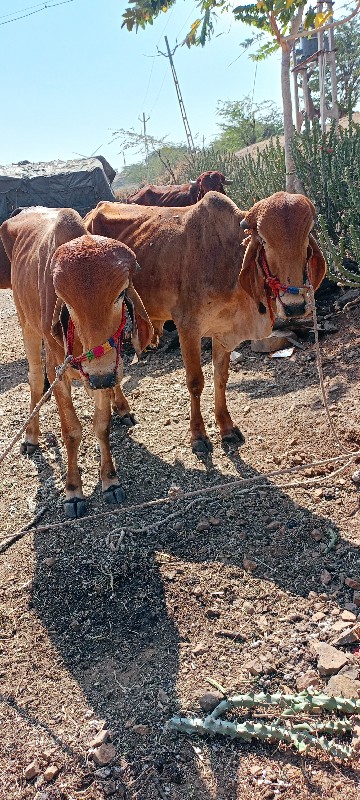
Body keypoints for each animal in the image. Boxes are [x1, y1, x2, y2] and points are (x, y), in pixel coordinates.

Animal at [0, 206, 153, 520]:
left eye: (121, 293)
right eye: (66, 304)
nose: (101, 377)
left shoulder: (106, 369)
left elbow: (101, 425)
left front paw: (110, 480)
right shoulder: (59, 374)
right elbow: (71, 431)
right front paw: (73, 491)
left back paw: (122, 407)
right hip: (26, 323)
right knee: (35, 378)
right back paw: (31, 436)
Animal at [85, 192, 326, 456]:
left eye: (307, 234)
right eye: (263, 239)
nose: (295, 306)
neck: (224, 257)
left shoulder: (224, 331)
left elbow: (220, 378)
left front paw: (227, 428)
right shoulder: (188, 328)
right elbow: (195, 383)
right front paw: (198, 436)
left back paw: (119, 407)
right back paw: (122, 408)